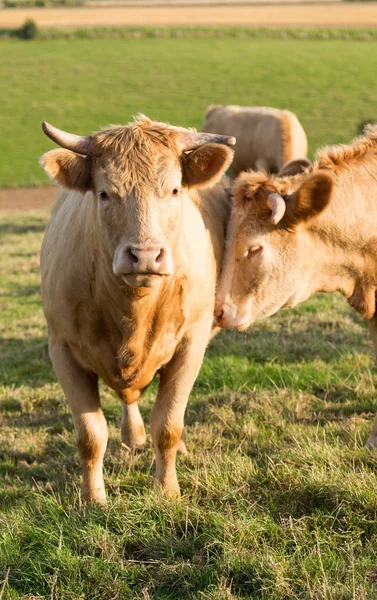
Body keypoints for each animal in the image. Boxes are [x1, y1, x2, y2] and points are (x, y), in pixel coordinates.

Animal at [39, 117, 234, 502]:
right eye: (104, 193)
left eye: (174, 190)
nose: (145, 255)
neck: (133, 311)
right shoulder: (62, 349)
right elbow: (90, 435)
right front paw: (93, 498)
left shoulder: (191, 345)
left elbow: (169, 425)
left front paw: (168, 490)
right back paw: (133, 436)